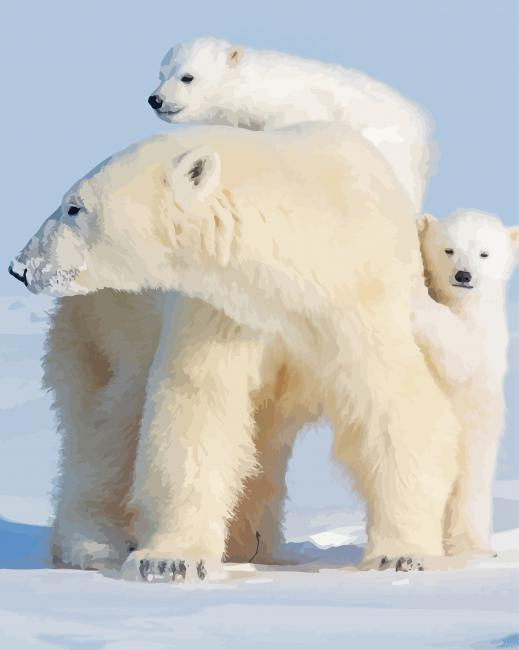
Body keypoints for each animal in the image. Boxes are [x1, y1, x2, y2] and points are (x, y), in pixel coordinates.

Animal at [9, 123, 460, 580]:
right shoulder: (220, 308)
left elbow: (393, 408)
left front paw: (403, 555)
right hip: (104, 325)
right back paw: (94, 544)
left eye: (74, 208)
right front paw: (170, 560)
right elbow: (199, 405)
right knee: (107, 425)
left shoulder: (358, 306)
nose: (20, 266)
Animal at [414, 209, 518, 557]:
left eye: (484, 253)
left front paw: (416, 301)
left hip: (473, 446)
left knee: (467, 493)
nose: (463, 275)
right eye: (449, 249)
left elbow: (460, 356)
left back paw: (469, 546)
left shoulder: (482, 334)